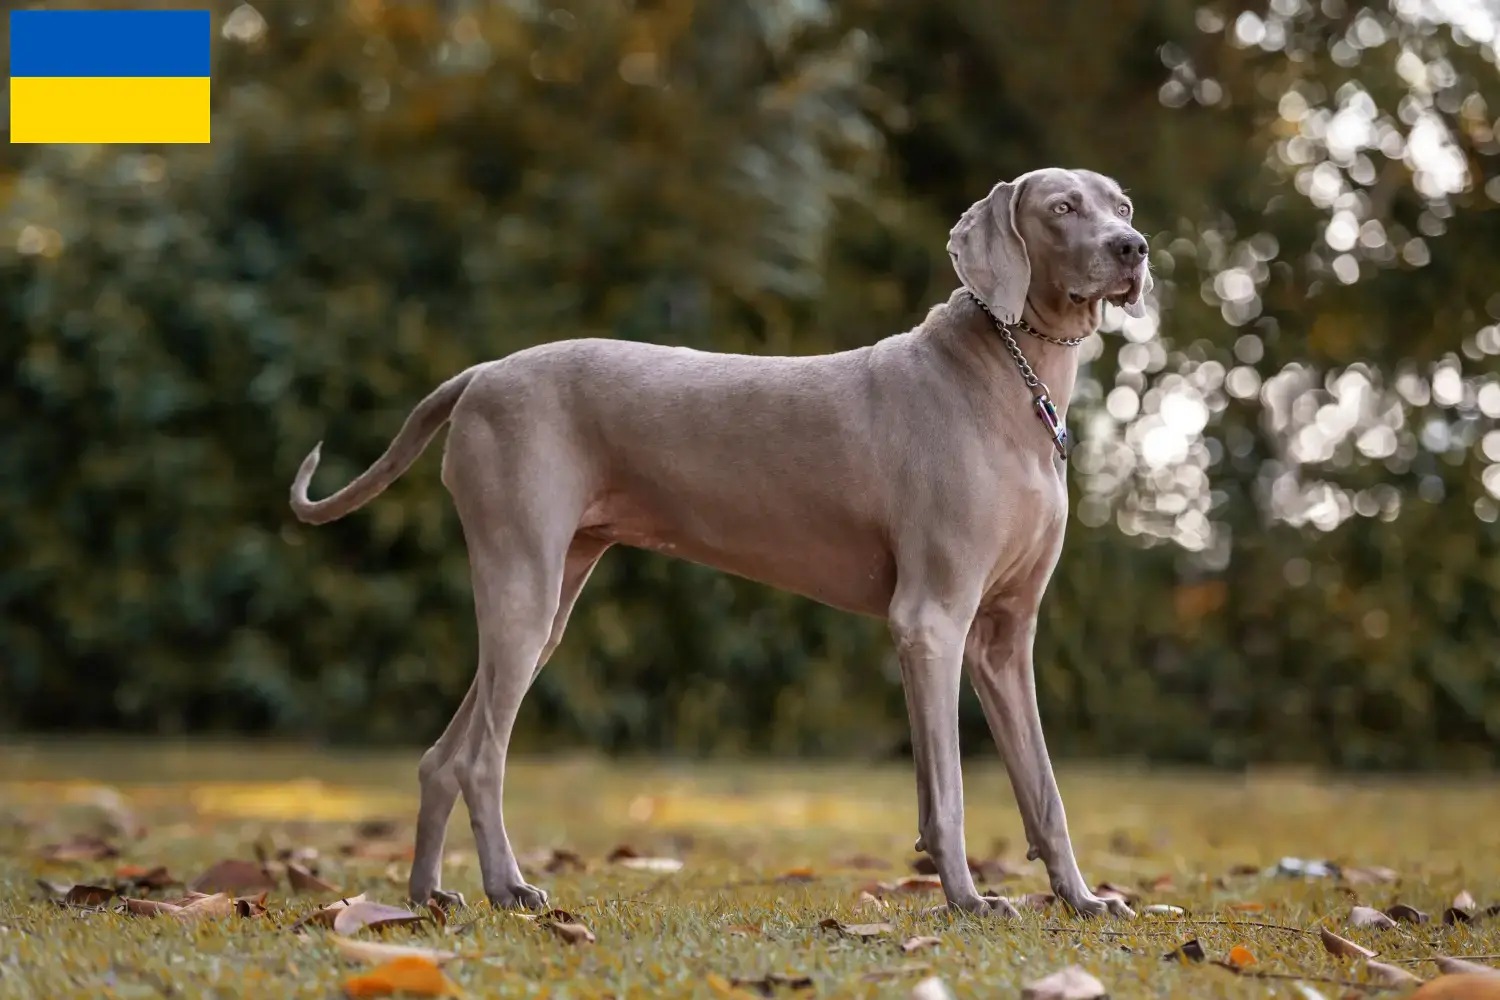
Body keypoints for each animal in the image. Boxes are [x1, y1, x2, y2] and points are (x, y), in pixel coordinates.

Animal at [295, 167, 1158, 917]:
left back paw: (425, 895)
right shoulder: (931, 620)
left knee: (444, 755)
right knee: (481, 757)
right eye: (1061, 207)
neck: (1014, 375)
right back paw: (507, 888)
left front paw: (1083, 900)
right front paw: (970, 901)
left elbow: (1043, 788)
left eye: (1120, 203)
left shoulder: (1003, 638)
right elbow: (946, 790)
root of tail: (480, 374)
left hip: (548, 600)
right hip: (522, 585)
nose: (1134, 247)